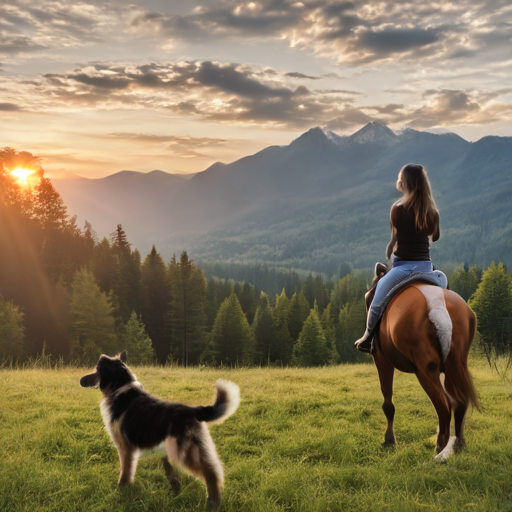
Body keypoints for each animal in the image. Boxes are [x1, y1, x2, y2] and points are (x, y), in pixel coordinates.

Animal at [80, 352, 240, 508]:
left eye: (96, 369)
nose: (81, 380)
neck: (120, 386)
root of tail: (192, 410)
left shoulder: (125, 448)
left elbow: (125, 473)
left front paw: (121, 491)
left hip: (182, 452)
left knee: (211, 473)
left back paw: (212, 503)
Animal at [368, 264, 480, 460]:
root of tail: (438, 305)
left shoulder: (381, 359)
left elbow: (388, 401)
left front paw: (389, 440)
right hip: (455, 365)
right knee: (460, 401)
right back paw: (457, 444)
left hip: (425, 371)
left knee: (444, 404)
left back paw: (440, 449)